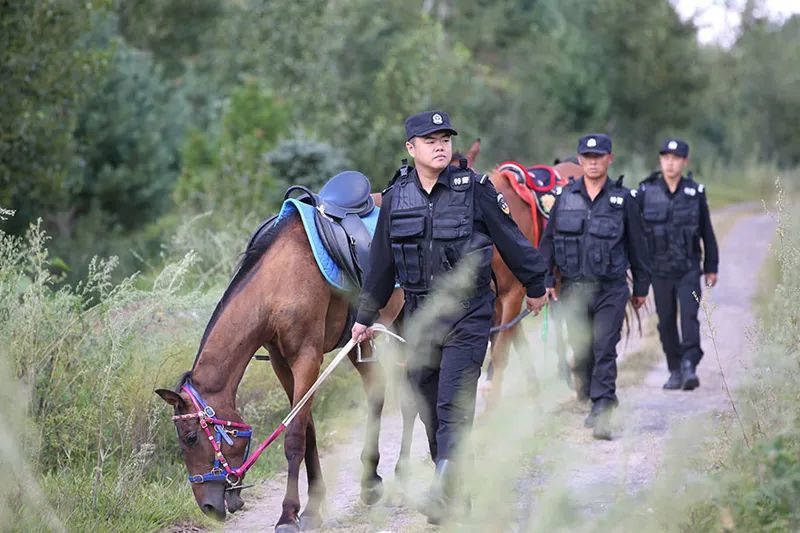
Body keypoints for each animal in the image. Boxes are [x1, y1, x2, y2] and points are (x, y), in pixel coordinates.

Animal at [156, 211, 406, 528]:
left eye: (190, 437)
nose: (208, 507)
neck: (279, 283)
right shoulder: (282, 364)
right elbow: (308, 429)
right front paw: (314, 506)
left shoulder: (307, 359)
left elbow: (295, 436)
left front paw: (289, 514)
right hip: (362, 340)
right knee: (378, 390)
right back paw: (371, 483)